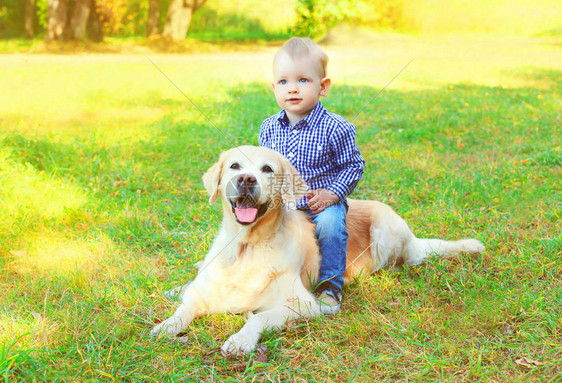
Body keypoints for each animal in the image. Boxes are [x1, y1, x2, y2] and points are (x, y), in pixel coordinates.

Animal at [151, 146, 484, 356]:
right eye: (234, 166)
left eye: (267, 169)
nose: (246, 180)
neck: (248, 245)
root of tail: (413, 237)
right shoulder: (205, 292)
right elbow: (185, 309)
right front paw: (166, 325)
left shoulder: (301, 304)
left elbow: (257, 318)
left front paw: (240, 340)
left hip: (385, 233)